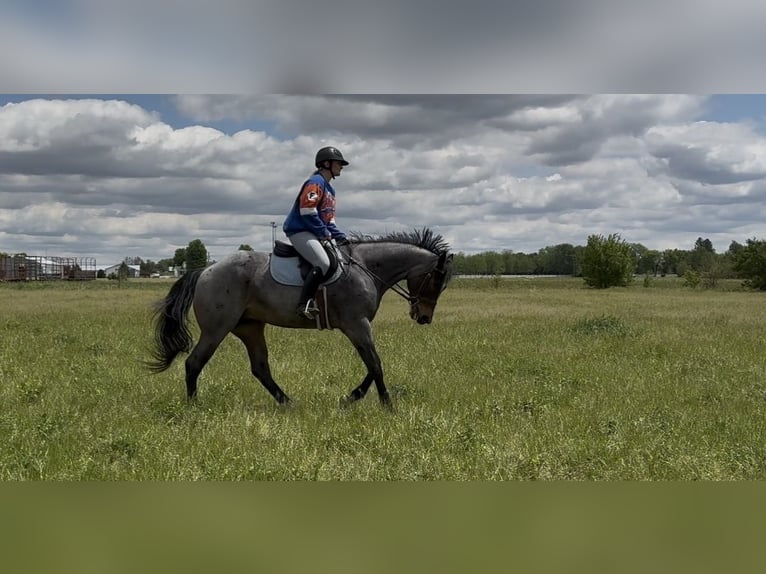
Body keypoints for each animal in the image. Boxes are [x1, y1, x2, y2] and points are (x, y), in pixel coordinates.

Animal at [147, 228, 453, 408]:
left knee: (260, 368)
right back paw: (194, 407)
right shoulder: (356, 324)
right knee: (194, 363)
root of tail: (205, 271)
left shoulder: (358, 327)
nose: (424, 317)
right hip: (216, 329)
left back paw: (289, 403)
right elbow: (375, 364)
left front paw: (351, 397)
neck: (367, 268)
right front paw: (386, 405)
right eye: (437, 281)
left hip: (249, 327)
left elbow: (372, 363)